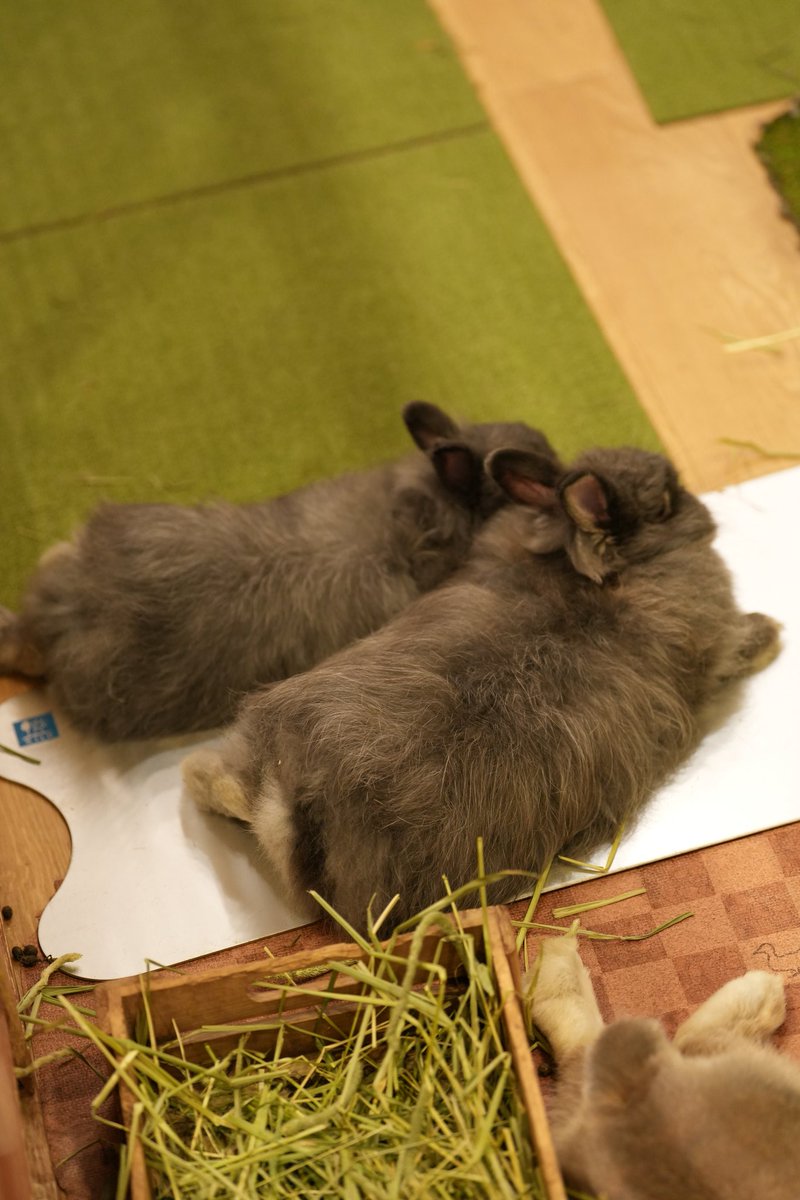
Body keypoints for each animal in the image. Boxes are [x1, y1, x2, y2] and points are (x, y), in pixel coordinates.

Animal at [182, 445, 780, 929]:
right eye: (664, 501)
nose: (704, 513)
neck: (596, 574)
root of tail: (295, 802)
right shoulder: (714, 645)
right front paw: (772, 635)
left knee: (218, 780)